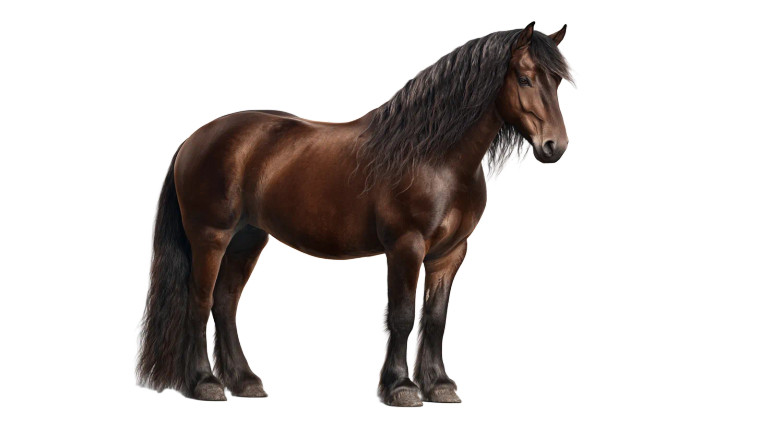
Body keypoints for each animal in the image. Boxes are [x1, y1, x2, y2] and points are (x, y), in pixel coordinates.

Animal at [137, 22, 572, 406]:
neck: (434, 157)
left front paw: (440, 386)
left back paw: (245, 381)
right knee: (199, 300)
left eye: (557, 81)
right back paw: (205, 382)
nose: (555, 146)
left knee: (225, 303)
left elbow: (436, 318)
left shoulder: (450, 253)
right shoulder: (405, 247)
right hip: (210, 237)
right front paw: (401, 388)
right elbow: (403, 316)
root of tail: (194, 139)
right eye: (524, 78)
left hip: (247, 239)